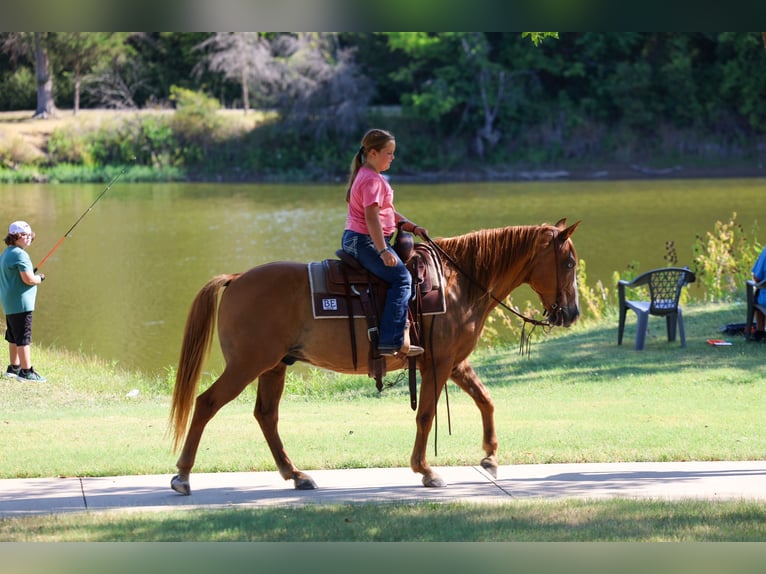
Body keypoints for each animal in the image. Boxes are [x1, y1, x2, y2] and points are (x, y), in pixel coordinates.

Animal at [169, 218, 581, 495]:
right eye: (569, 263)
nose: (572, 312)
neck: (458, 281)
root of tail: (236, 278)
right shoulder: (439, 363)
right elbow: (426, 415)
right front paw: (426, 470)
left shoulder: (454, 362)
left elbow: (485, 399)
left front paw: (490, 458)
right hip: (247, 365)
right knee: (207, 404)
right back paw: (183, 475)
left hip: (273, 367)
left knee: (266, 416)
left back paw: (296, 475)